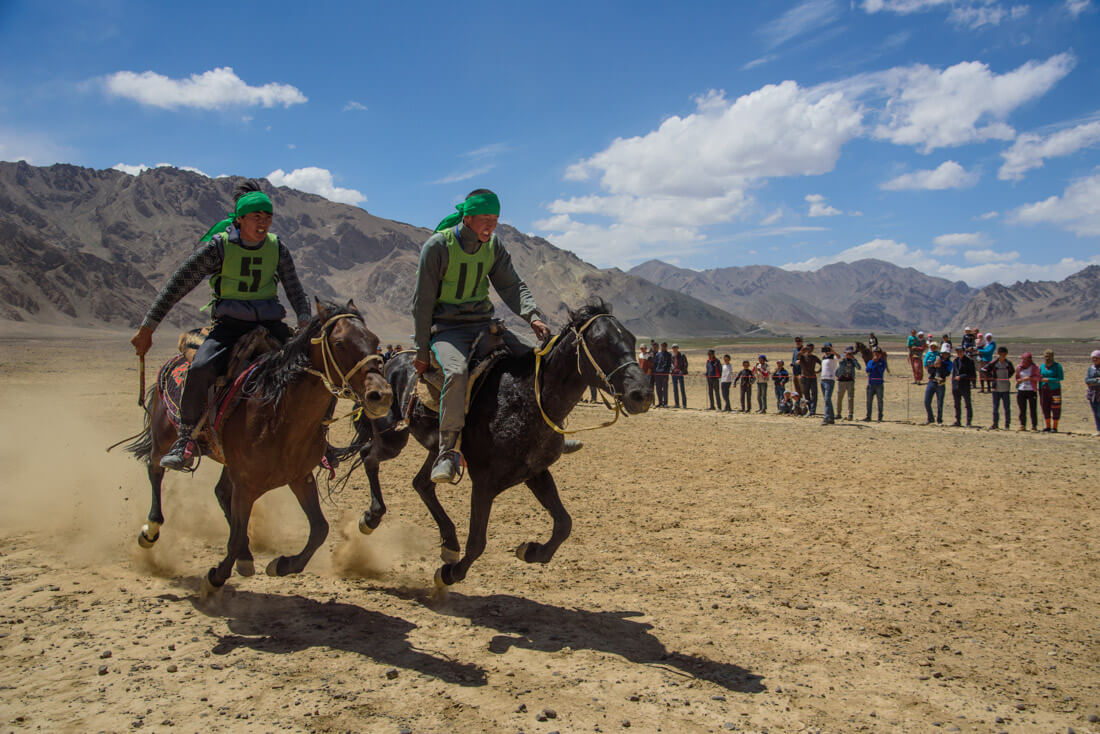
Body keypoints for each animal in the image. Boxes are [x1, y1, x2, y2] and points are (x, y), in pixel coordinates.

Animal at [127, 299, 393, 598]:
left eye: (375, 341)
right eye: (339, 343)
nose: (381, 395)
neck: (278, 415)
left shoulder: (299, 477)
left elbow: (319, 529)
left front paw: (282, 565)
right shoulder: (247, 485)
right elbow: (234, 537)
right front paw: (215, 577)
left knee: (221, 492)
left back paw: (245, 556)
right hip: (163, 437)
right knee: (155, 469)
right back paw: (150, 530)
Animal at [354, 299, 651, 589]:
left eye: (631, 338)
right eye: (600, 342)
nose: (642, 394)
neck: (525, 399)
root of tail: (391, 362)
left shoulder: (535, 473)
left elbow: (564, 524)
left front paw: (531, 551)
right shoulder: (484, 483)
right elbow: (477, 543)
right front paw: (448, 574)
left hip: (437, 451)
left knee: (422, 484)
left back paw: (449, 543)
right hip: (392, 438)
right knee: (369, 456)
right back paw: (371, 517)